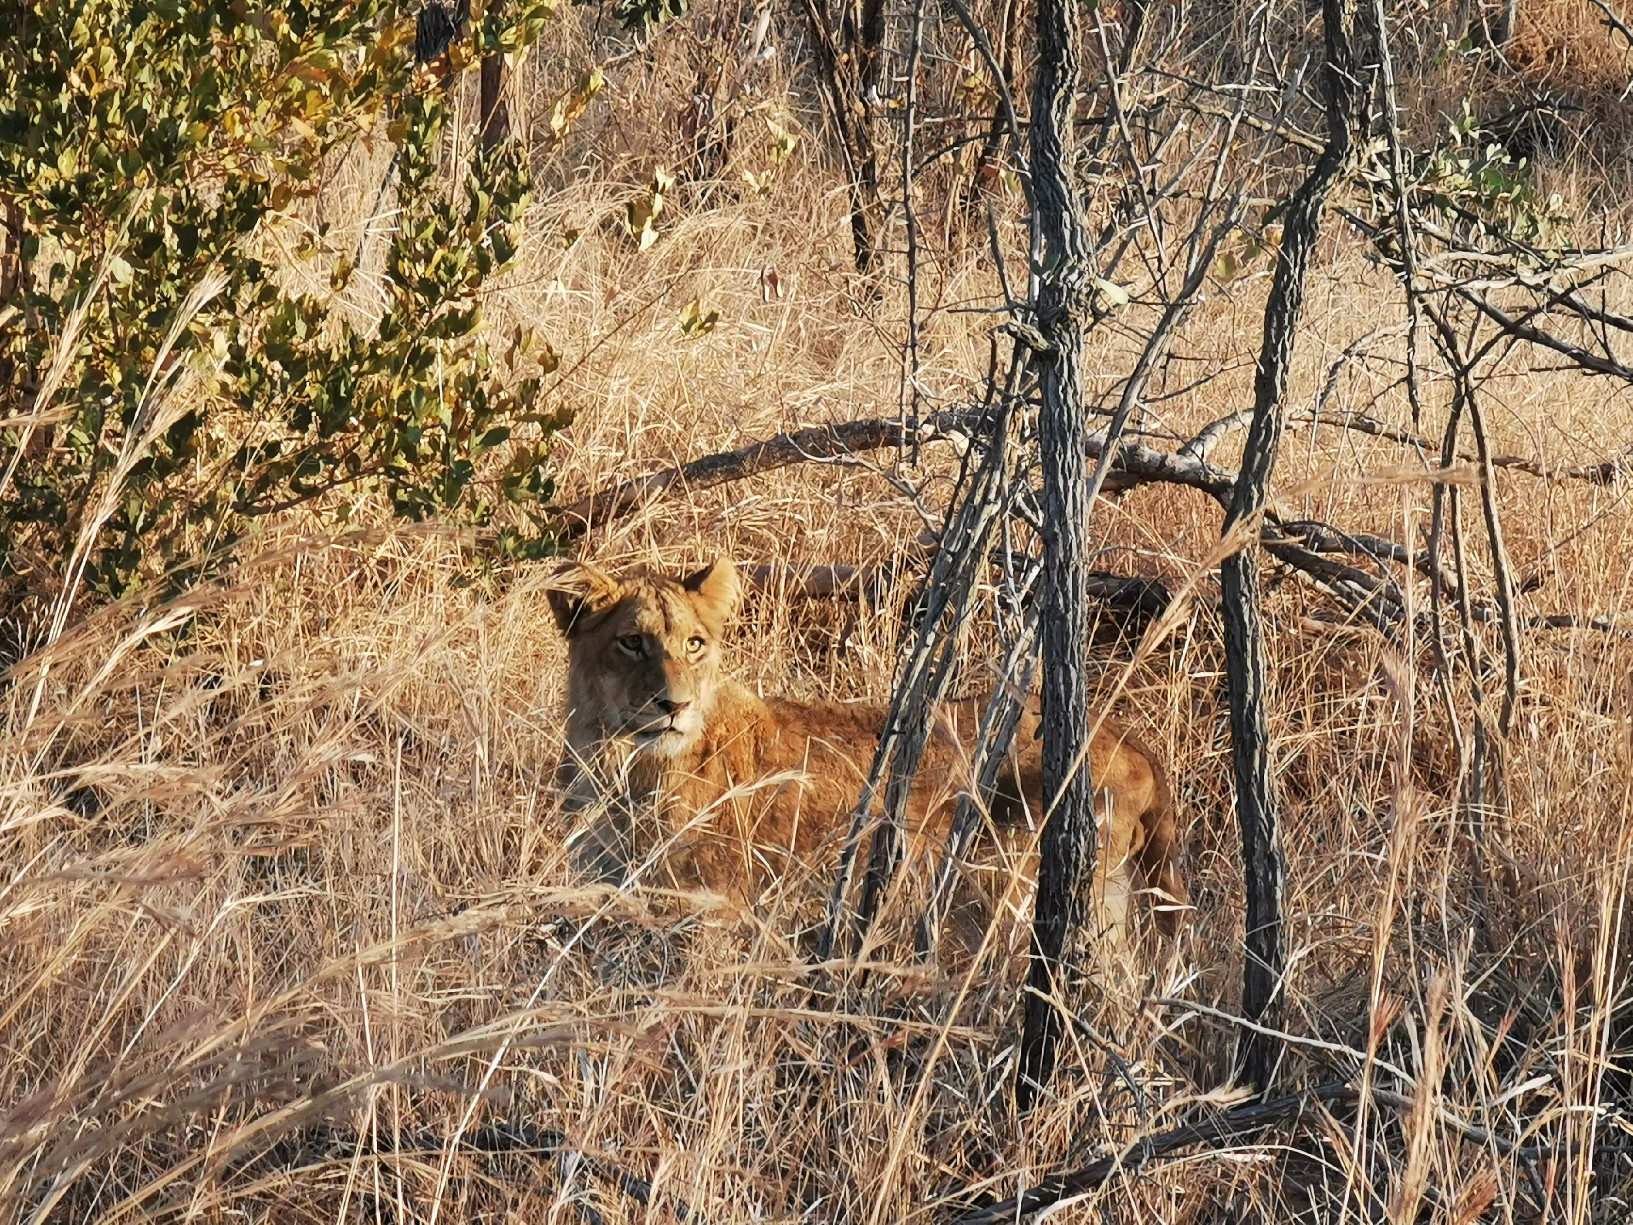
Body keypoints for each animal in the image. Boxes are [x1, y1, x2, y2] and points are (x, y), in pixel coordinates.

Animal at [551, 555, 1188, 940]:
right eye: (632, 642)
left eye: (694, 644)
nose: (674, 706)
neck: (618, 762)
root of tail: (1123, 736)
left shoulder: (718, 908)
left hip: (1019, 898)